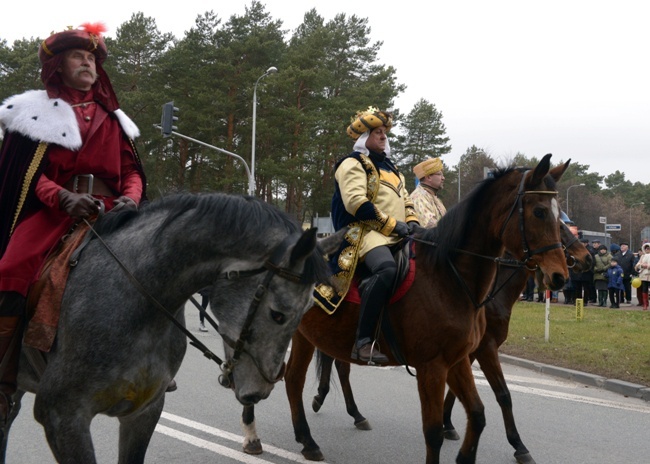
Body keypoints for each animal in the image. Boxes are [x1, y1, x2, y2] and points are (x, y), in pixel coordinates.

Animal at [284, 156, 568, 464]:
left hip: (305, 335)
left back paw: (309, 438)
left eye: (559, 215)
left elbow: (478, 413)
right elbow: (433, 431)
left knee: (294, 378)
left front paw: (466, 453)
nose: (560, 276)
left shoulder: (457, 359)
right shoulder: (433, 365)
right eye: (539, 211)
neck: (448, 277)